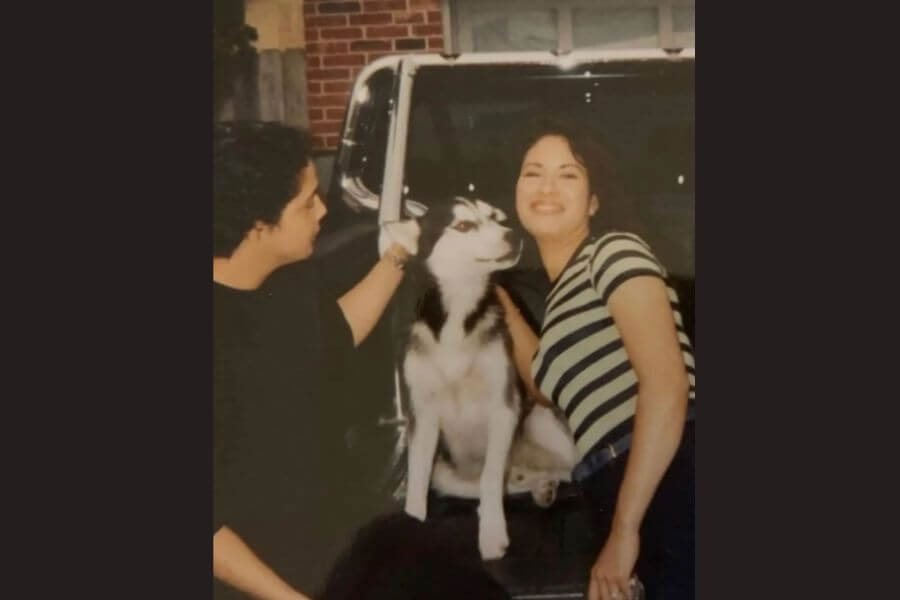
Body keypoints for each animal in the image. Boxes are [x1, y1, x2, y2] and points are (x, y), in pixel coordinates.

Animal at [386, 198, 576, 564]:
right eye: (463, 226)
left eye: (494, 217)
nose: (514, 235)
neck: (460, 310)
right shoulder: (424, 417)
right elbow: (417, 481)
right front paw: (414, 520)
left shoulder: (504, 405)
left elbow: (490, 479)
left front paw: (491, 537)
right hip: (446, 475)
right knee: (502, 484)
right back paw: (536, 486)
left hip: (539, 420)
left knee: (572, 469)